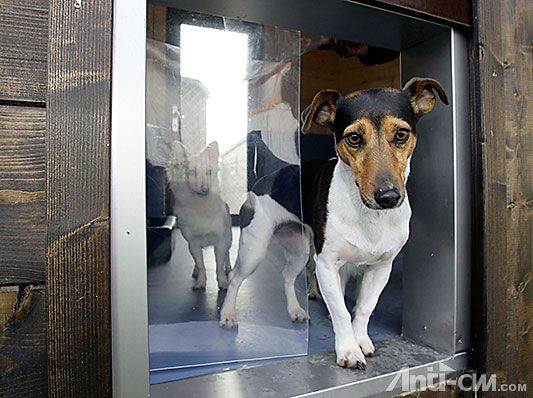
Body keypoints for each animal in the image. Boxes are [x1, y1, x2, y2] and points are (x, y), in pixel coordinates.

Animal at [166, 141, 233, 290]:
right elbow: (201, 264)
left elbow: (219, 265)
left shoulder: (220, 242)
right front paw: (201, 281)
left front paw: (223, 282)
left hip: (229, 239)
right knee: (198, 262)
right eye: (191, 172)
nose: (205, 189)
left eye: (209, 172)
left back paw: (229, 268)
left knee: (227, 254)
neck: (200, 206)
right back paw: (196, 271)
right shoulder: (193, 244)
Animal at [218, 78, 446, 370]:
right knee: (236, 279)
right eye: (354, 138)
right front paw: (348, 350)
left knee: (287, 277)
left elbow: (364, 308)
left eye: (401, 135)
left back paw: (295, 310)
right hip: (254, 249)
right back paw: (227, 314)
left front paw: (361, 341)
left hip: (299, 249)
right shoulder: (327, 266)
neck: (368, 216)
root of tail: (275, 171)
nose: (388, 197)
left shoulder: (381, 268)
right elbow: (340, 312)